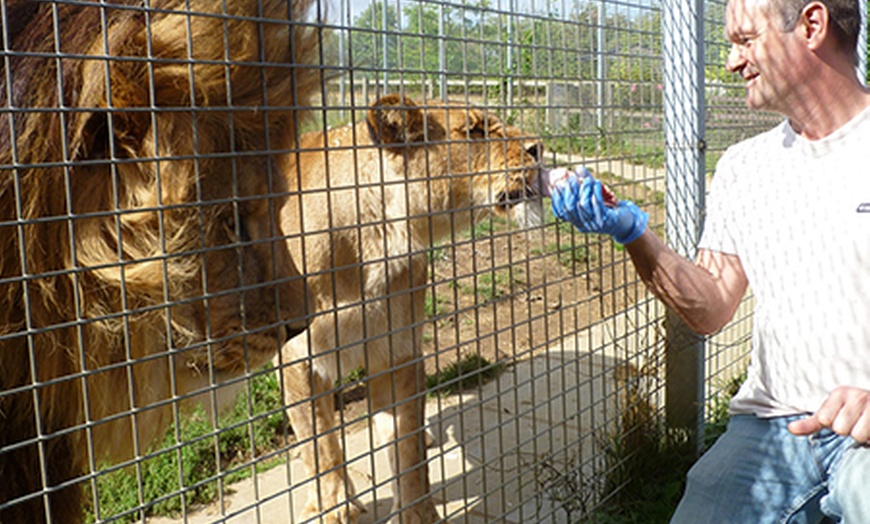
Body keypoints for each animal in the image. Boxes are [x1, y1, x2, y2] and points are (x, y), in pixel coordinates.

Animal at [280, 95, 544, 524]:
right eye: (474, 130)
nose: (540, 148)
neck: (376, 240)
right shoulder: (299, 359)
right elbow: (321, 447)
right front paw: (335, 507)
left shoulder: (399, 350)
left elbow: (407, 446)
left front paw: (418, 514)